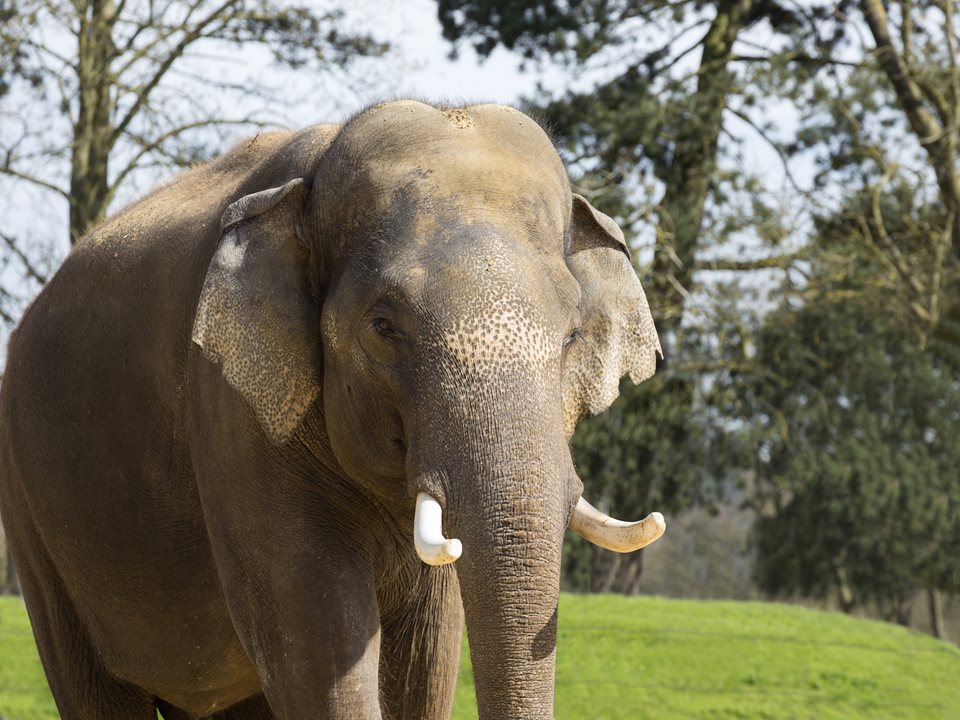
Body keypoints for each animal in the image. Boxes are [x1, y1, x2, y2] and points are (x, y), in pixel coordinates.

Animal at [0, 101, 660, 720]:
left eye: (573, 335)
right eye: (384, 327)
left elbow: (428, 652)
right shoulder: (230, 410)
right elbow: (317, 640)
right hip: (34, 523)